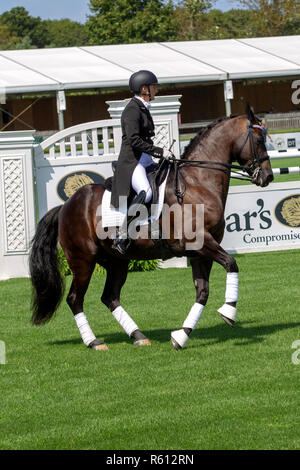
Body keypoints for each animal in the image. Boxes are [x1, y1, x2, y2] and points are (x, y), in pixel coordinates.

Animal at [29, 104, 274, 350]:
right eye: (259, 140)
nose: (268, 177)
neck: (196, 183)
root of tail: (65, 206)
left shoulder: (200, 252)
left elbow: (202, 293)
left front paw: (180, 336)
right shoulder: (200, 243)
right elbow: (231, 263)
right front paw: (229, 311)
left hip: (116, 261)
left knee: (110, 297)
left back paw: (138, 335)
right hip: (83, 261)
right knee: (75, 299)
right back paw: (94, 342)